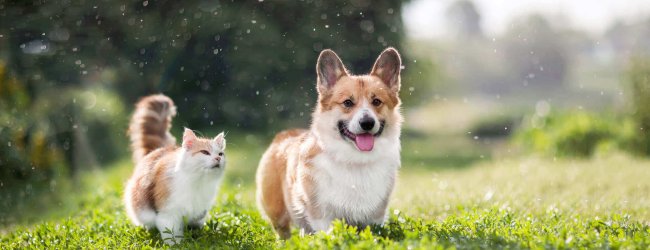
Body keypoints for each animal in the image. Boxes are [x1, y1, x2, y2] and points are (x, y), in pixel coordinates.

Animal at [123, 94, 225, 244]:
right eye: (205, 152)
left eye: (220, 154)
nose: (218, 159)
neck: (198, 181)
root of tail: (160, 149)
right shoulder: (168, 213)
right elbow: (172, 234)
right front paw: (177, 244)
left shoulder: (200, 209)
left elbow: (196, 221)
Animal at [253, 47, 400, 238]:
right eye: (347, 102)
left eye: (376, 102)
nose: (367, 123)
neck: (355, 159)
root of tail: (283, 134)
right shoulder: (321, 214)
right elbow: (328, 234)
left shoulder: (375, 216)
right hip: (278, 212)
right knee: (283, 232)